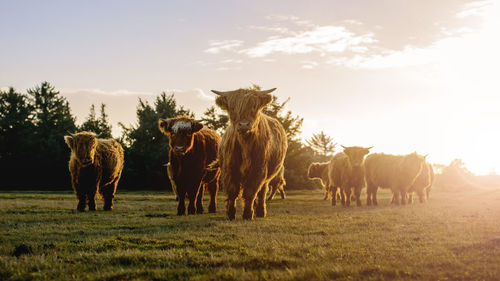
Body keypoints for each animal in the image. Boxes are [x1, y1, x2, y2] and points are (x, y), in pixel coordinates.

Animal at [212, 86, 290, 220]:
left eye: (254, 106)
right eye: (232, 107)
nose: (243, 125)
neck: (245, 144)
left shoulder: (258, 170)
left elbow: (250, 192)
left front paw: (248, 214)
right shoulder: (229, 169)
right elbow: (232, 191)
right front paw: (230, 213)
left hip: (268, 175)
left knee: (263, 191)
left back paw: (261, 211)